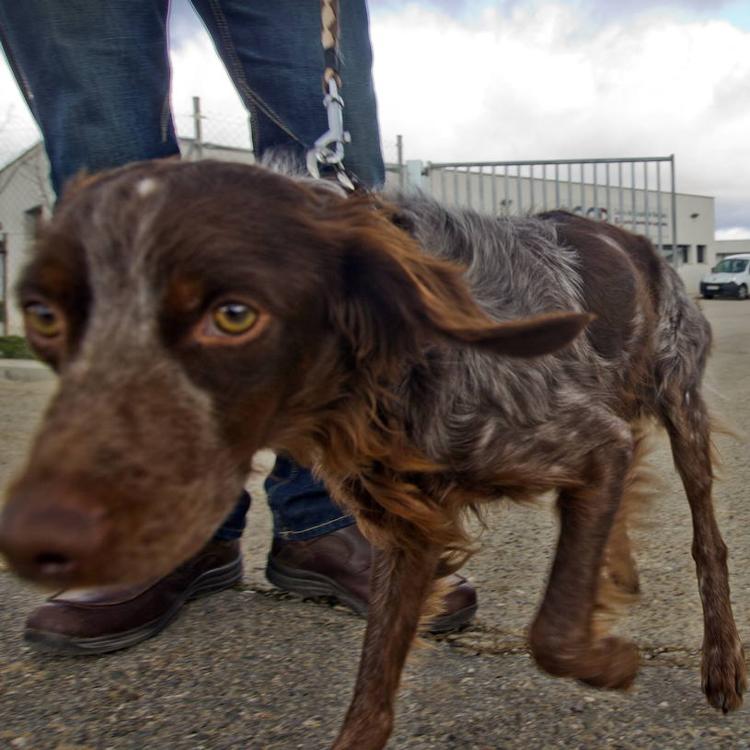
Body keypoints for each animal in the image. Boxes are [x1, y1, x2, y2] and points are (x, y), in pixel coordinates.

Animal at [0, 160, 748, 750]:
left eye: (235, 315)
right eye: (43, 315)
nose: (37, 540)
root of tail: (635, 238)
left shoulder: (590, 441)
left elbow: (552, 632)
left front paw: (611, 662)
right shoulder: (407, 531)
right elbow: (370, 696)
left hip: (679, 405)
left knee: (707, 542)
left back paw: (720, 661)